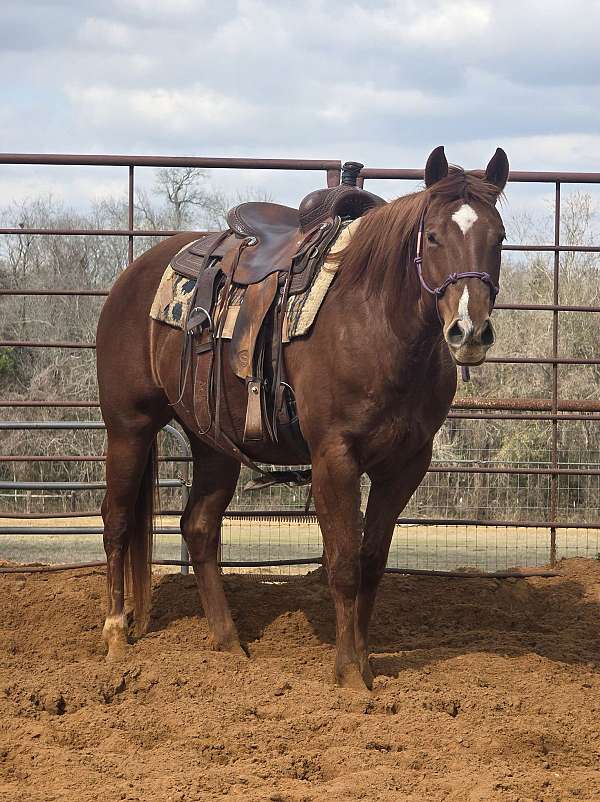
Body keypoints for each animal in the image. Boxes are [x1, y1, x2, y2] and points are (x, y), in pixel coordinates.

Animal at [96, 145, 509, 690]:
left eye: (498, 237)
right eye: (434, 235)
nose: (469, 332)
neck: (376, 321)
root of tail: (131, 276)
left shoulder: (405, 465)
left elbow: (372, 560)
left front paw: (366, 663)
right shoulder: (334, 457)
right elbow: (344, 562)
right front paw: (348, 675)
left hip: (212, 441)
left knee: (198, 527)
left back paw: (229, 644)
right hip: (129, 426)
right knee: (118, 520)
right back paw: (116, 637)